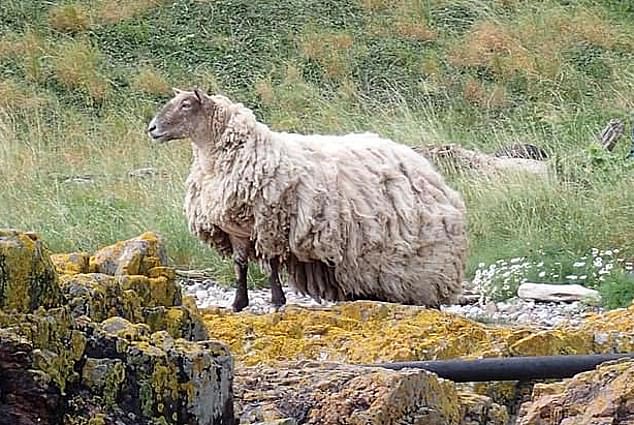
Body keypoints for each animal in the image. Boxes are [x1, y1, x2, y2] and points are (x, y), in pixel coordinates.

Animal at [146, 88, 466, 310]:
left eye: (186, 104)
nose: (152, 128)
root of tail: (428, 170)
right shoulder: (235, 228)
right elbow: (240, 265)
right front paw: (238, 303)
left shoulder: (270, 222)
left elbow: (271, 265)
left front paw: (277, 301)